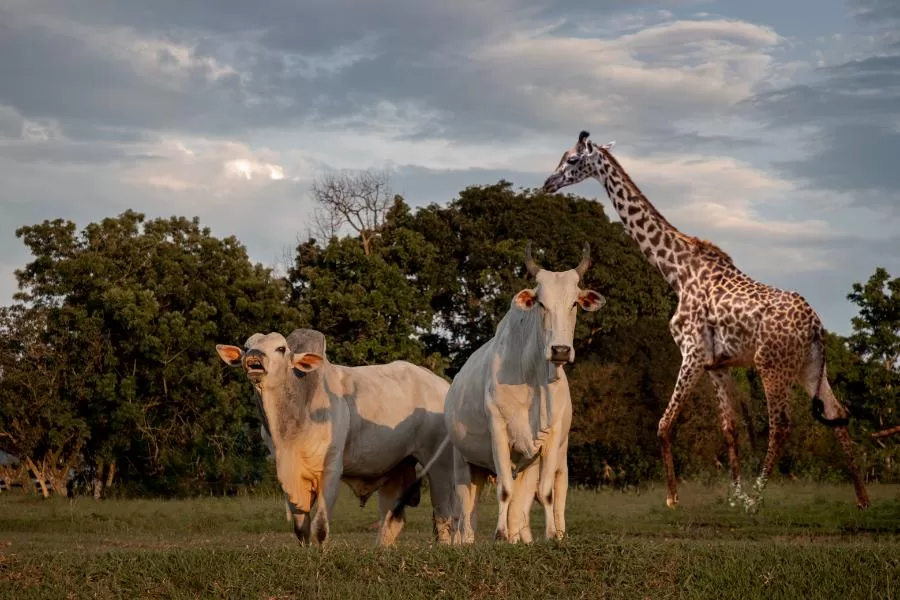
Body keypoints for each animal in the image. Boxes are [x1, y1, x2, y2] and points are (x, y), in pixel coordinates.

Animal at [216, 328, 458, 544]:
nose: (254, 356)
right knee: (391, 520)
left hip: (440, 466)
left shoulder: (331, 469)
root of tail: (442, 385)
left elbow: (321, 527)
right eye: (246, 346)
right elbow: (301, 528)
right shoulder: (288, 473)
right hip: (397, 469)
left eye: (281, 348)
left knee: (443, 517)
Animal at [388, 243, 604, 544]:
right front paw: (500, 534)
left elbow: (545, 492)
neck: (534, 379)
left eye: (574, 303)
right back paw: (466, 540)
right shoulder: (499, 432)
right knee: (466, 513)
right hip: (463, 462)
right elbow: (504, 489)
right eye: (541, 303)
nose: (560, 350)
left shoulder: (550, 440)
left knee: (521, 502)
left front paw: (550, 534)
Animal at [536, 130, 868, 510]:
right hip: (809, 367)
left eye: (573, 159)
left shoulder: (691, 352)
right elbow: (730, 429)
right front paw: (734, 496)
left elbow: (664, 423)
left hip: (772, 365)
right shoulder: (716, 365)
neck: (677, 272)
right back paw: (861, 499)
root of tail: (815, 325)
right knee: (837, 413)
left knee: (781, 424)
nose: (548, 183)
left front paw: (674, 498)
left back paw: (758, 499)